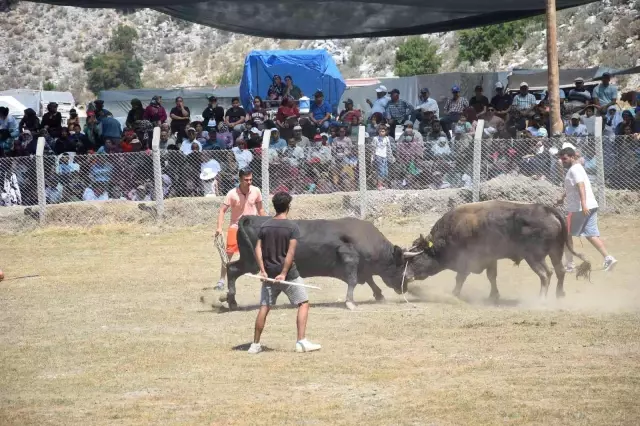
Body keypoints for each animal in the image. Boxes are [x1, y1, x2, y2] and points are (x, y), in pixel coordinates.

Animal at [220, 216, 420, 310]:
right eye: (403, 266)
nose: (406, 286)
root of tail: (250, 218)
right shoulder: (349, 259)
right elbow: (354, 280)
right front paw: (350, 302)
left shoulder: (362, 267)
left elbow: (369, 279)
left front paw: (379, 295)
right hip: (252, 263)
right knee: (232, 269)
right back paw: (232, 301)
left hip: (249, 261)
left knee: (231, 268)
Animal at [404, 201, 592, 298]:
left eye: (414, 258)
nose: (406, 276)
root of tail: (547, 209)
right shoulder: (490, 259)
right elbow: (492, 276)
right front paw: (494, 295)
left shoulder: (467, 261)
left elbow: (460, 278)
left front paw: (454, 293)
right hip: (555, 252)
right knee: (560, 271)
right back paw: (559, 295)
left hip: (534, 257)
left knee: (546, 274)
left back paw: (541, 298)